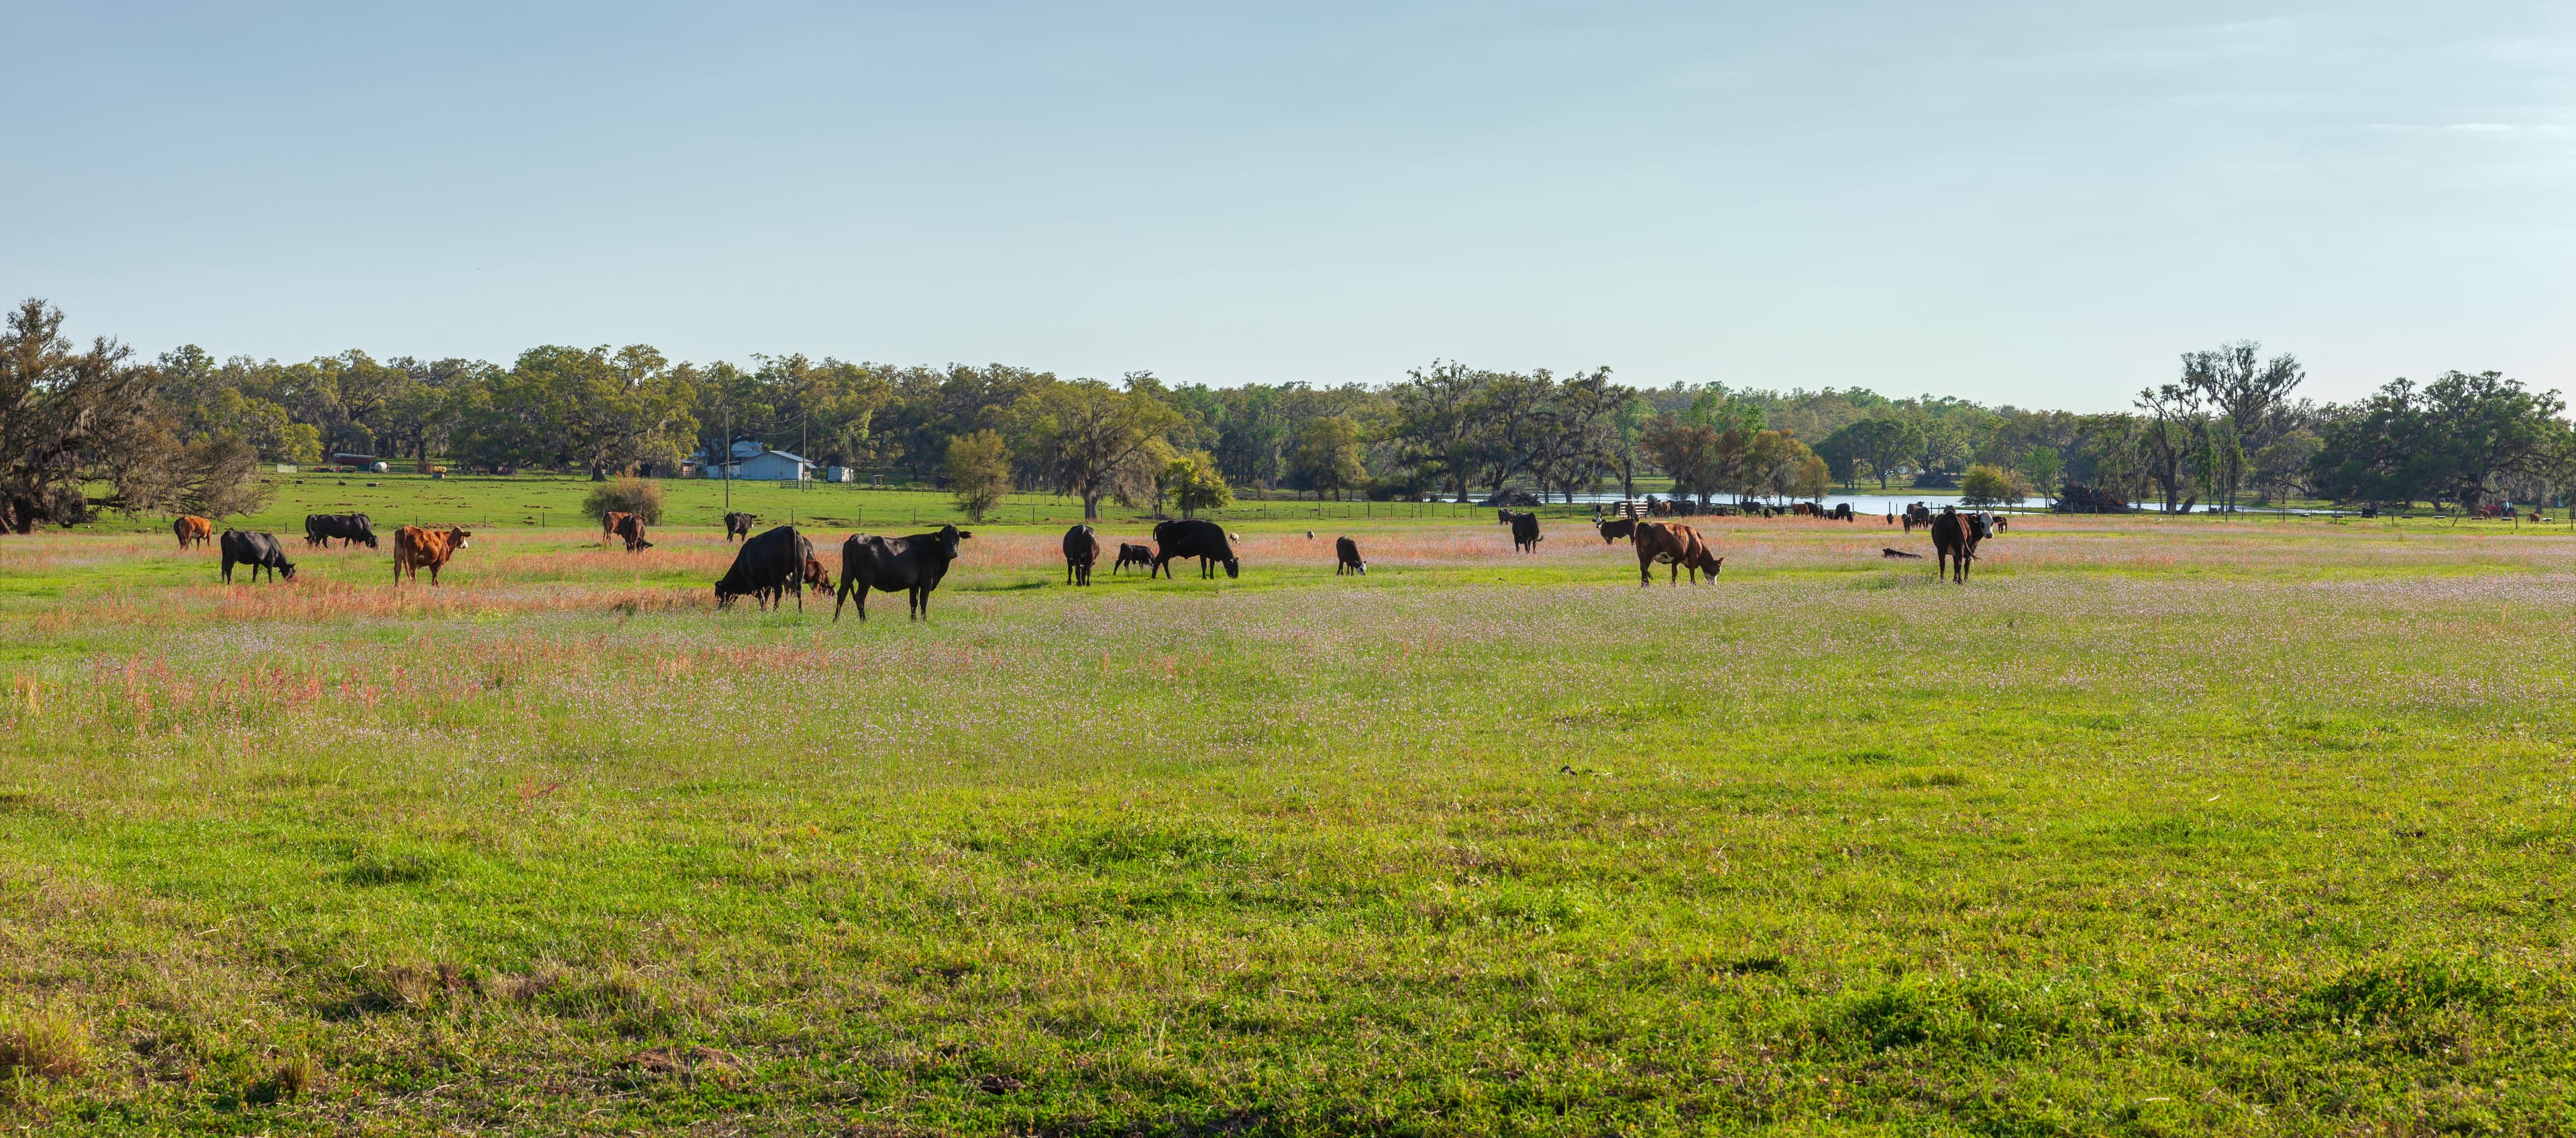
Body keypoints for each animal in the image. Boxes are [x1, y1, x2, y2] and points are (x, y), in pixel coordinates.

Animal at [716, 525, 811, 611]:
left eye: (719, 594)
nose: (719, 609)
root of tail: (790, 529)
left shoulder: (751, 580)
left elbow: (761, 596)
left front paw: (764, 610)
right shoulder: (768, 584)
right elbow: (766, 596)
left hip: (776, 573)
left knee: (778, 591)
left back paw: (775, 611)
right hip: (800, 569)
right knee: (799, 590)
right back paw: (800, 611)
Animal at [835, 525, 971, 621]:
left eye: (957, 537)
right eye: (944, 538)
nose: (952, 553)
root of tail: (857, 536)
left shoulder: (914, 584)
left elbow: (914, 601)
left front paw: (913, 620)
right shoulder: (927, 579)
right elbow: (924, 600)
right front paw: (924, 620)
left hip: (847, 574)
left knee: (842, 594)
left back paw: (836, 619)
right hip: (865, 580)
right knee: (859, 597)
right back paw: (863, 620)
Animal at [1151, 519, 1239, 579]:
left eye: (1237, 566)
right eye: (1233, 566)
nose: (1236, 576)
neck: (1214, 535)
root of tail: (1160, 525)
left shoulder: (1212, 556)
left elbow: (1212, 566)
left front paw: (1212, 577)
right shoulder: (1202, 553)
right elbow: (1204, 565)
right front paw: (1204, 577)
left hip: (1165, 552)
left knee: (1158, 560)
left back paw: (1153, 576)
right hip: (1166, 551)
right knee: (1164, 561)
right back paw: (1169, 577)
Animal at [1633, 521, 1723, 586]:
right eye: (1718, 570)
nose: (1714, 584)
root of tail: (1644, 524)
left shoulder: (1676, 560)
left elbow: (1675, 573)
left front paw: (1673, 585)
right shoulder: (1693, 557)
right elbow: (1692, 572)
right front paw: (1694, 584)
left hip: (1641, 555)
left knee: (1643, 569)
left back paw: (1644, 585)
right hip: (1648, 555)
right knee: (1644, 568)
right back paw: (1647, 585)